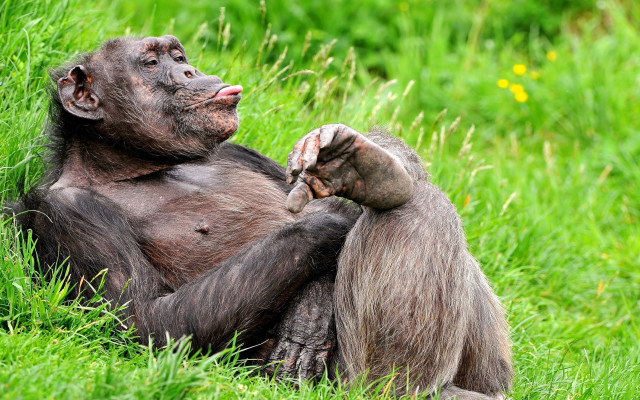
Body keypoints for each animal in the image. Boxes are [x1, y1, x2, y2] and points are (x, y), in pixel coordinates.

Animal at [12, 35, 512, 399]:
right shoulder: (67, 214)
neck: (140, 166)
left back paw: (371, 173)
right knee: (413, 211)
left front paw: (348, 162)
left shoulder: (239, 151)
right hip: (346, 381)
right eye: (151, 64)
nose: (190, 70)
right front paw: (326, 235)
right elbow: (148, 323)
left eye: (178, 56)